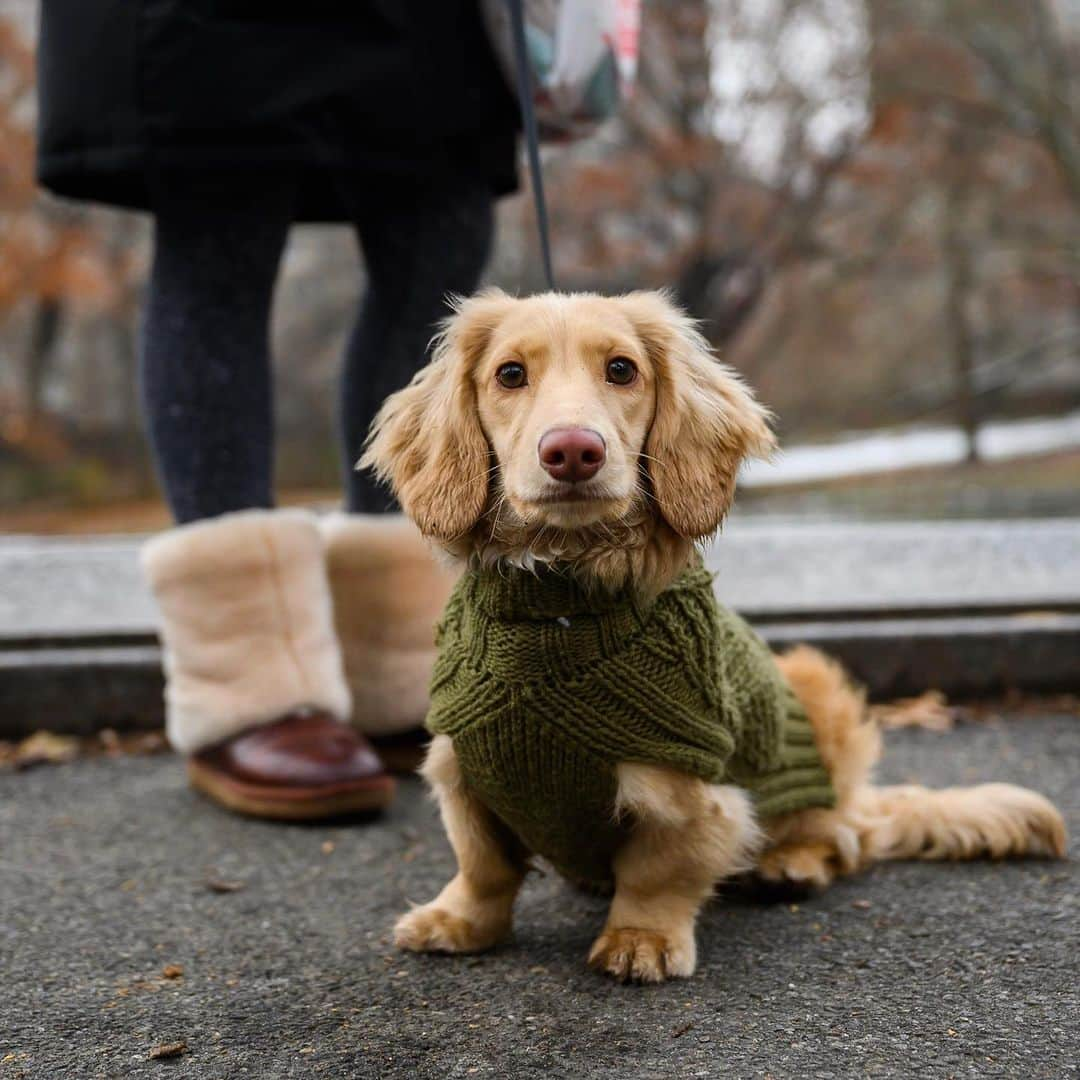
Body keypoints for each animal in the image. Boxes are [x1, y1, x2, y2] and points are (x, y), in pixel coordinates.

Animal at [360, 291, 1062, 984]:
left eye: (622, 369)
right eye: (509, 374)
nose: (573, 451)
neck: (559, 602)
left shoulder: (689, 789)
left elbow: (658, 872)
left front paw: (640, 938)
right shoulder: (461, 770)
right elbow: (482, 865)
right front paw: (458, 921)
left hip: (814, 692)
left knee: (840, 837)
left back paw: (792, 864)